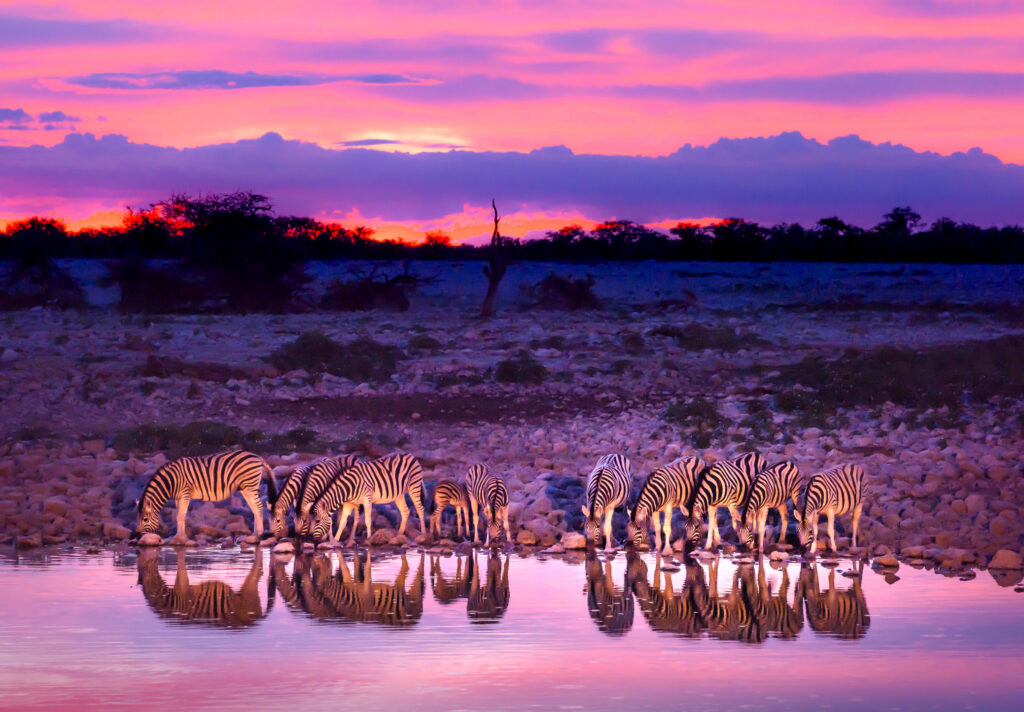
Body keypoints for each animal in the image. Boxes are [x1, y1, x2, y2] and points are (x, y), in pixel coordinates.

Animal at [136, 450, 276, 544]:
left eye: (145, 519)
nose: (137, 536)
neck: (171, 481)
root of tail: (257, 457)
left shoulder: (185, 493)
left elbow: (181, 516)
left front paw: (180, 538)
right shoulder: (178, 497)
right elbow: (178, 516)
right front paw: (179, 537)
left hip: (250, 485)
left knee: (259, 507)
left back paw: (258, 535)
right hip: (245, 488)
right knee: (255, 508)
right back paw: (253, 535)